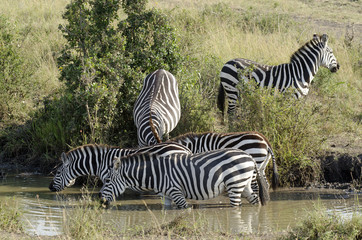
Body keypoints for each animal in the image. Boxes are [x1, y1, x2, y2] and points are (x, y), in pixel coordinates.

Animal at [99, 148, 268, 208]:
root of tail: (249, 156)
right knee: (256, 201)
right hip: (244, 184)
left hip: (235, 185)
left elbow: (184, 210)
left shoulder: (176, 191)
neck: (156, 173)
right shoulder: (167, 195)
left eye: (107, 180)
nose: (101, 201)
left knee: (236, 207)